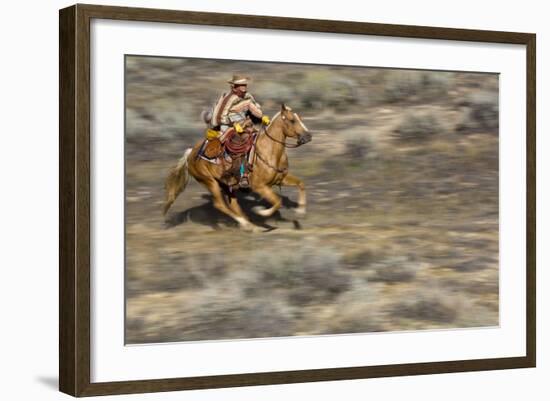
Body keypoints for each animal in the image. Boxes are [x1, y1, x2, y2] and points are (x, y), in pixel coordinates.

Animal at [162, 103, 312, 231]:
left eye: (300, 118)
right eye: (292, 120)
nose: (308, 136)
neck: (269, 151)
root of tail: (190, 153)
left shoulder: (281, 178)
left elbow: (301, 184)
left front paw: (300, 212)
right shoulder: (260, 187)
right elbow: (277, 202)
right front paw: (261, 211)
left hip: (226, 184)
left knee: (233, 205)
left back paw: (250, 225)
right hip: (209, 182)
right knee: (220, 205)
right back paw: (245, 223)